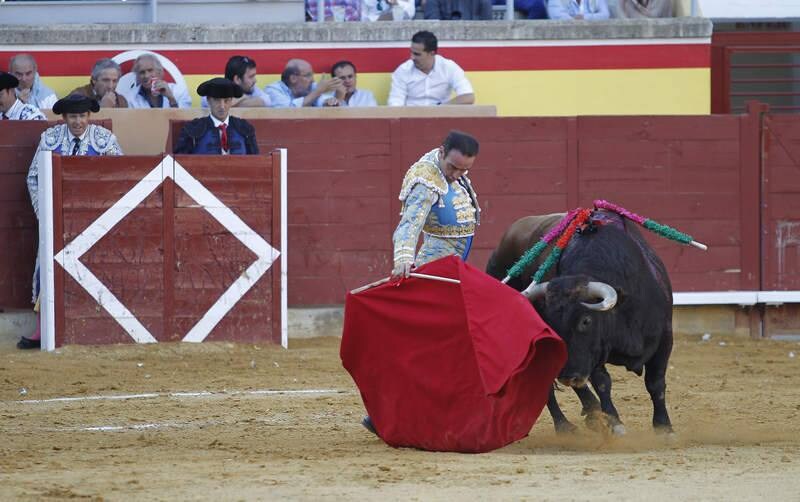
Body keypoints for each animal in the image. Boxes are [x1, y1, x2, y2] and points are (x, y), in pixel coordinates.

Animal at [488, 210, 676, 434]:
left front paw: (664, 428)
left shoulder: (665, 337)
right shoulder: (593, 351)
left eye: (586, 321)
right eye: (551, 324)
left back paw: (591, 412)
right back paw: (565, 425)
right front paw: (615, 424)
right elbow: (603, 383)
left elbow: (655, 382)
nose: (568, 376)